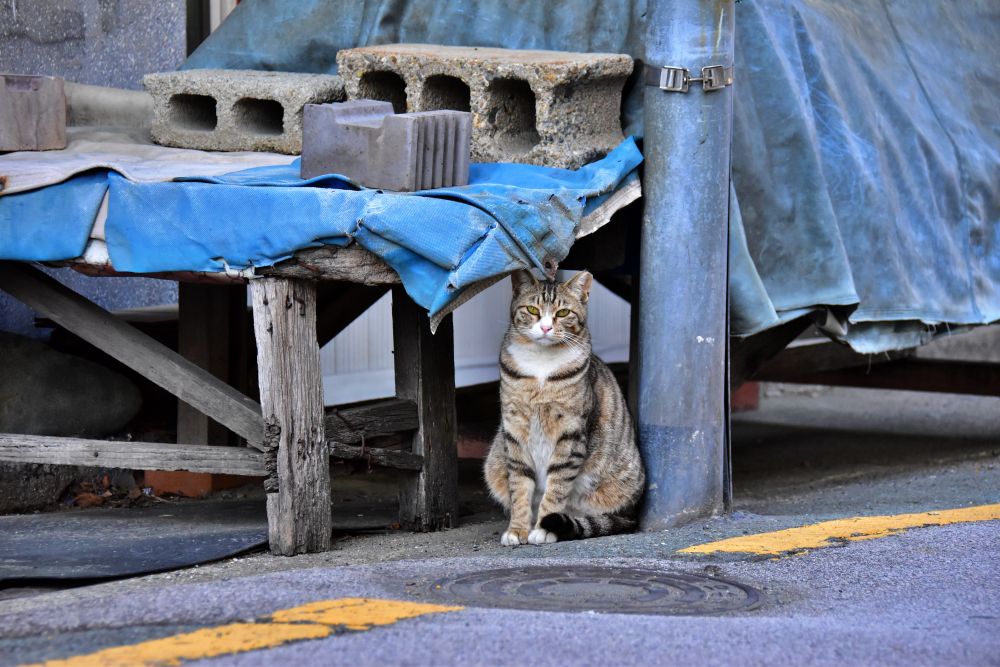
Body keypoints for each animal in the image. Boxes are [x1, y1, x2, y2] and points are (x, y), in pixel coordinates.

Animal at [486, 268, 644, 544]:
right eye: (533, 310)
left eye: (562, 313)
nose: (546, 327)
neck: (540, 364)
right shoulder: (514, 429)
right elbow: (519, 486)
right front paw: (518, 529)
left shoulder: (570, 431)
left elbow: (556, 486)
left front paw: (543, 528)